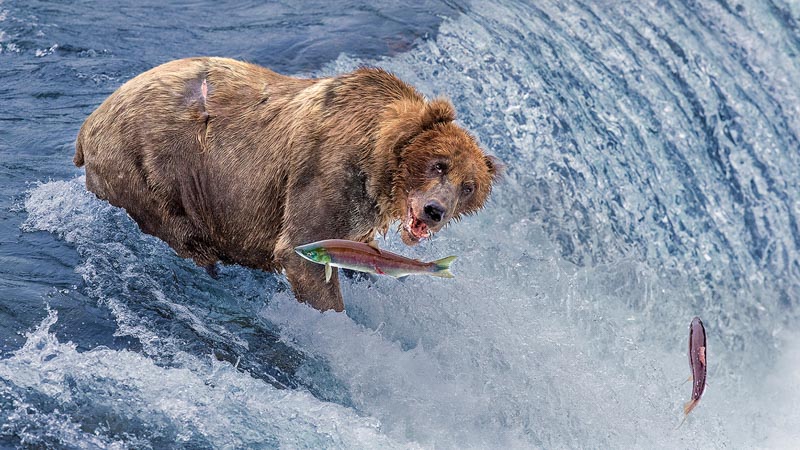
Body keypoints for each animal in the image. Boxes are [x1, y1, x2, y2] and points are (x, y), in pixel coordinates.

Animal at [74, 57, 501, 311]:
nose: (435, 210)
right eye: (438, 165)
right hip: (150, 168)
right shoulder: (326, 173)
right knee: (182, 235)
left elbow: (357, 252)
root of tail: (89, 122)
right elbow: (301, 252)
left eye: (468, 186)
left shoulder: (359, 212)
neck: (379, 162)